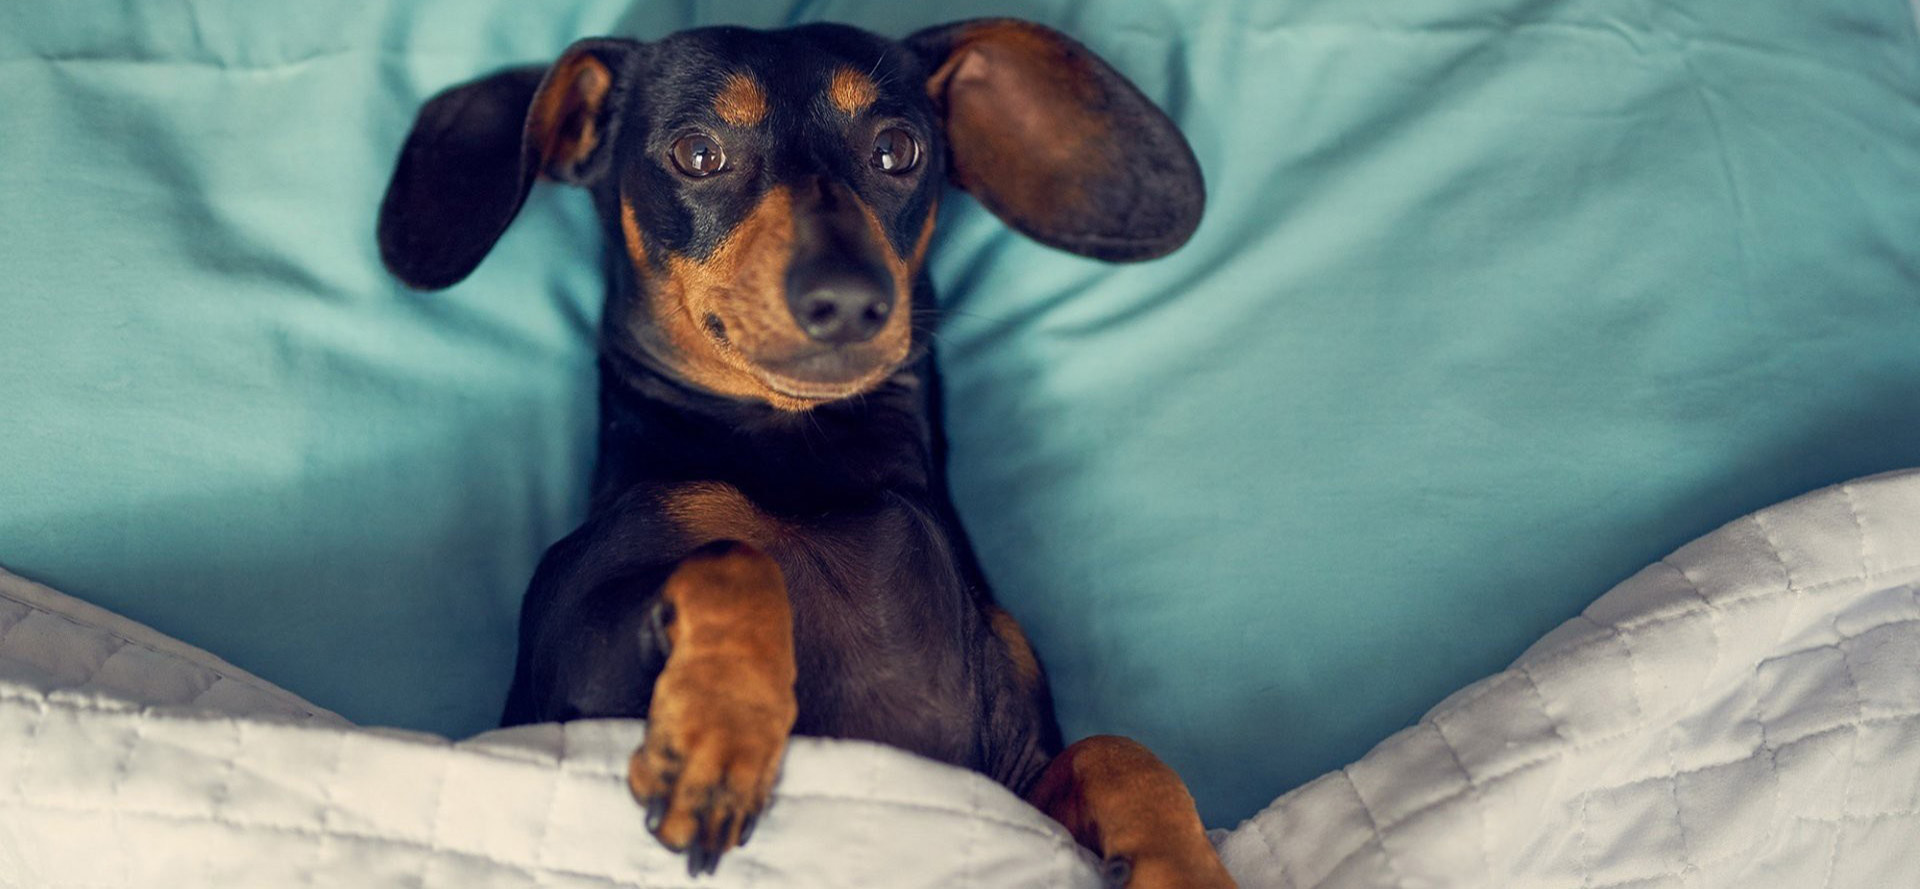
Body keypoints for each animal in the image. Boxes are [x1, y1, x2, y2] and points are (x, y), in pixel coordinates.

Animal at [374, 15, 1228, 889]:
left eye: (896, 149)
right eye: (696, 153)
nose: (848, 301)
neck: (813, 459)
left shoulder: (1011, 770)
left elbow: (1117, 749)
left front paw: (1184, 861)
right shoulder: (558, 674)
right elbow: (734, 556)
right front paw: (719, 738)